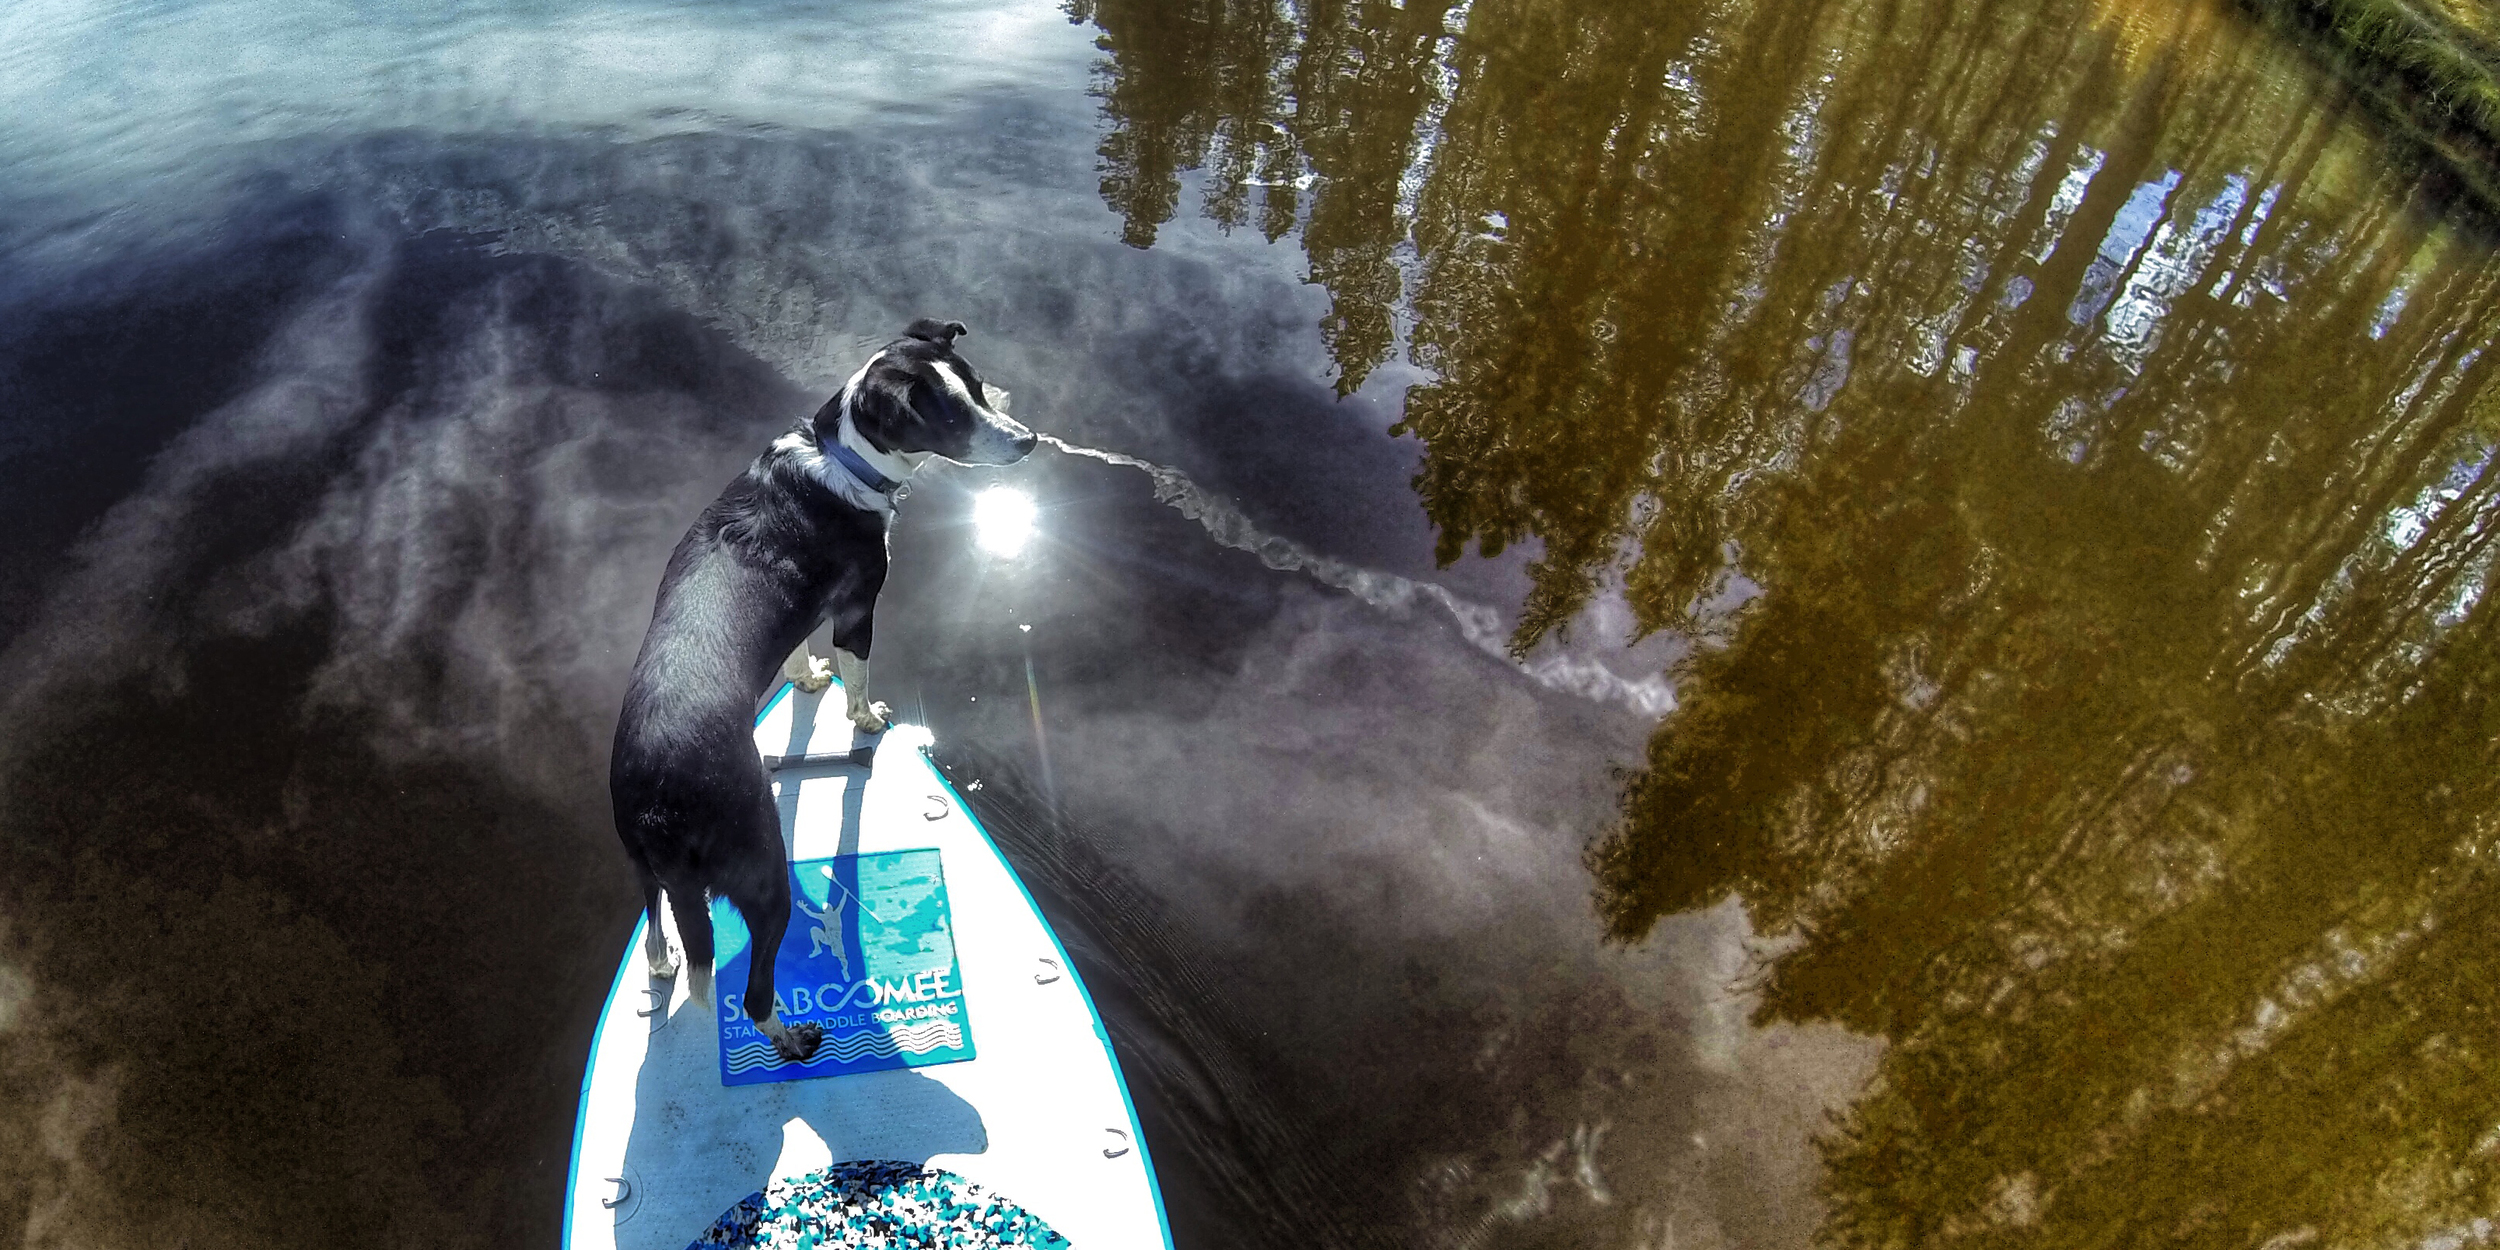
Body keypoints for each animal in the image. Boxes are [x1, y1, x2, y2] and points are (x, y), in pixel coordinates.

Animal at [610, 317, 1030, 1060]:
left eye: (979, 387)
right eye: (953, 415)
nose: (1030, 438)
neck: (842, 459)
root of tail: (658, 802)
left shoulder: (807, 610)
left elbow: (797, 659)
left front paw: (806, 679)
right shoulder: (858, 610)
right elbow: (859, 681)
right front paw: (866, 720)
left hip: (644, 866)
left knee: (658, 930)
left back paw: (663, 963)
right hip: (762, 872)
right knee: (751, 991)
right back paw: (794, 1038)